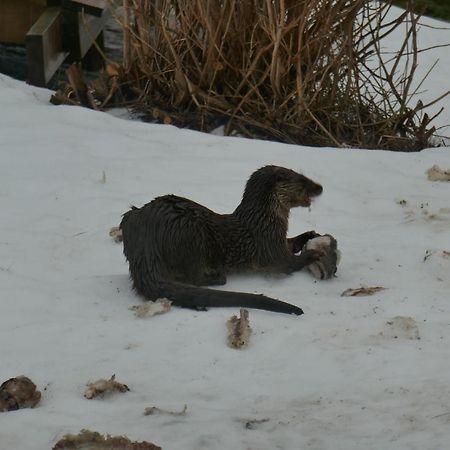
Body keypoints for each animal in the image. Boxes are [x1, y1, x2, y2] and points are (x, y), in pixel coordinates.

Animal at [119, 163, 324, 314]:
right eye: (302, 181)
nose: (320, 187)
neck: (265, 220)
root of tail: (145, 245)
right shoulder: (268, 247)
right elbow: (288, 264)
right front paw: (313, 254)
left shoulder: (277, 240)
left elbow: (291, 242)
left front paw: (309, 235)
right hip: (192, 236)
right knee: (193, 276)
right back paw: (218, 277)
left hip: (132, 217)